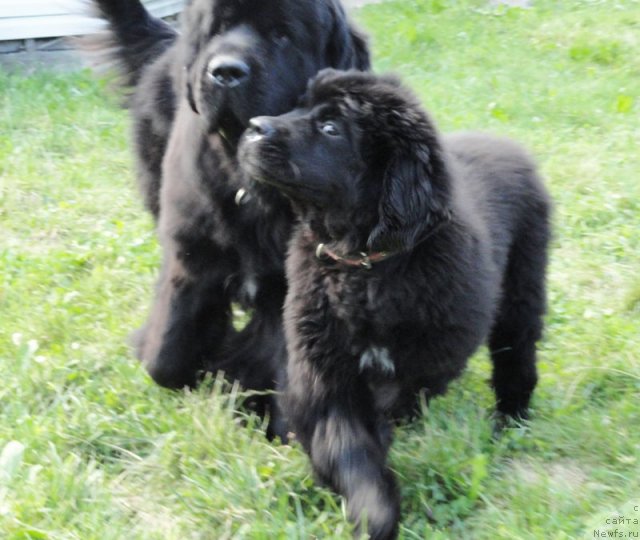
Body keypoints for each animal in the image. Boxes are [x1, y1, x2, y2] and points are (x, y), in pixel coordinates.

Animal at [87, 0, 368, 434]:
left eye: (282, 35)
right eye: (218, 29)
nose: (225, 71)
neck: (250, 183)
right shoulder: (190, 256)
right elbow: (165, 357)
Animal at [238, 69, 552, 536]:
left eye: (331, 128)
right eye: (298, 107)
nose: (254, 126)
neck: (363, 264)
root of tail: (506, 143)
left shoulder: (430, 357)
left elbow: (393, 404)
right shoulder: (324, 370)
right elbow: (346, 445)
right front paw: (374, 513)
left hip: (522, 286)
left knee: (517, 353)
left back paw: (510, 419)